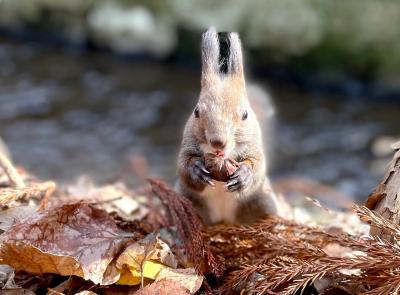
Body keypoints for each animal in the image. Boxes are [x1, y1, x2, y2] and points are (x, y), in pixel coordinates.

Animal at [176, 27, 284, 225]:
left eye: (245, 115)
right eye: (196, 111)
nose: (218, 142)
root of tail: (223, 218)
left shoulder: (254, 145)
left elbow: (258, 165)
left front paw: (244, 175)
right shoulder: (188, 142)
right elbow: (184, 164)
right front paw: (197, 170)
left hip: (263, 201)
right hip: (187, 198)